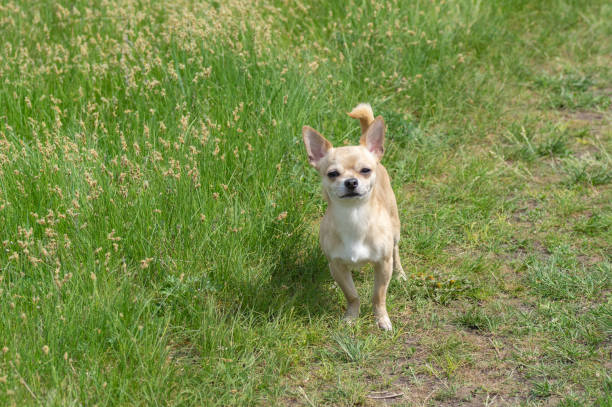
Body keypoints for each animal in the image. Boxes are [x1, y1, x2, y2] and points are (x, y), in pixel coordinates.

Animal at [302, 103, 406, 332]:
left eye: (365, 170)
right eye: (332, 174)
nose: (351, 182)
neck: (354, 217)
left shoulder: (382, 264)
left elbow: (378, 296)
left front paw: (381, 319)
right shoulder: (337, 265)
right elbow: (351, 295)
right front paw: (351, 317)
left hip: (395, 230)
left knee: (396, 251)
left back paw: (400, 274)